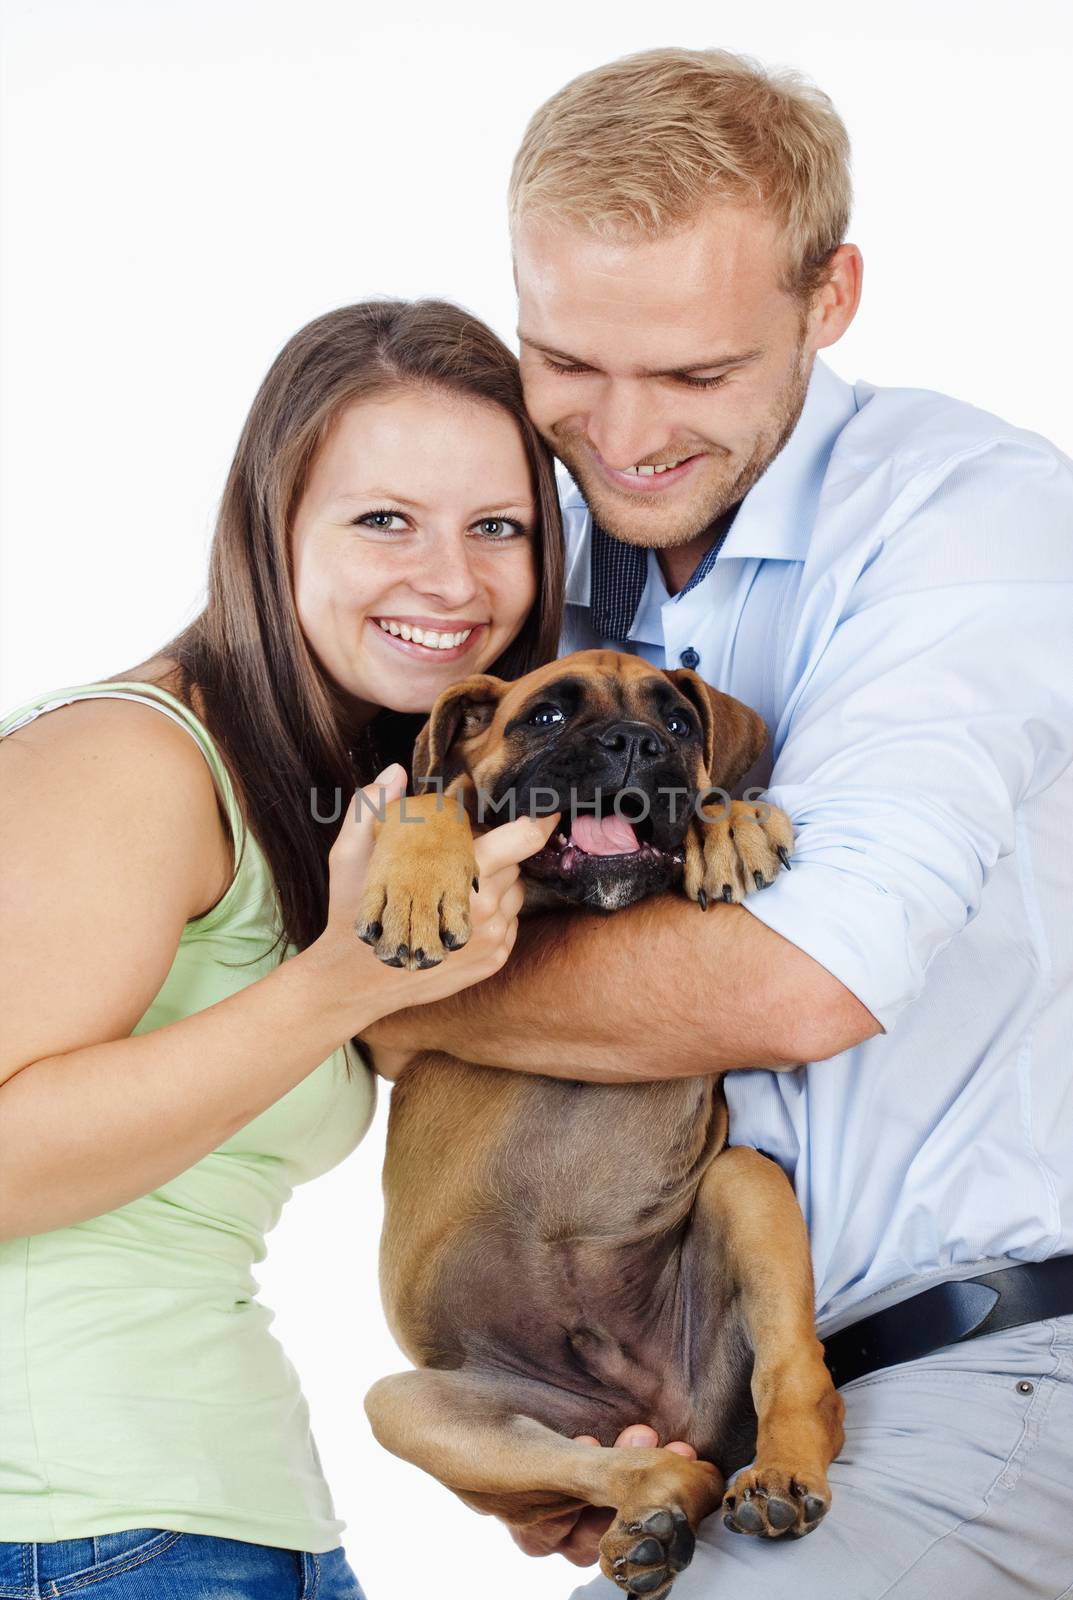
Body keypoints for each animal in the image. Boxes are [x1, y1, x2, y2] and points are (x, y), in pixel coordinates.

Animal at [362, 649, 850, 1600]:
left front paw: (729, 822)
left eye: (681, 724)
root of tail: (660, 1413)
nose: (636, 745)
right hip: (410, 1405)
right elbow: (432, 797)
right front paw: (415, 878)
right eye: (546, 718)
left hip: (744, 1185)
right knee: (649, 1471)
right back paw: (648, 1527)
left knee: (800, 1382)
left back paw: (777, 1478)